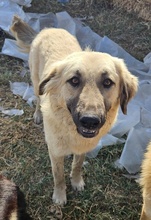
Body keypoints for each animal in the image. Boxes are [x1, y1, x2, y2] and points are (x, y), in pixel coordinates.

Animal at [10, 15, 138, 206]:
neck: (70, 128)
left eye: (108, 82)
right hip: (36, 81)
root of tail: (48, 29)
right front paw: (60, 195)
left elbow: (77, 165)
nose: (90, 120)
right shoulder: (55, 152)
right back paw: (38, 114)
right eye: (74, 80)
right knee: (38, 98)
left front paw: (76, 182)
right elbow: (58, 176)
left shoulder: (83, 147)